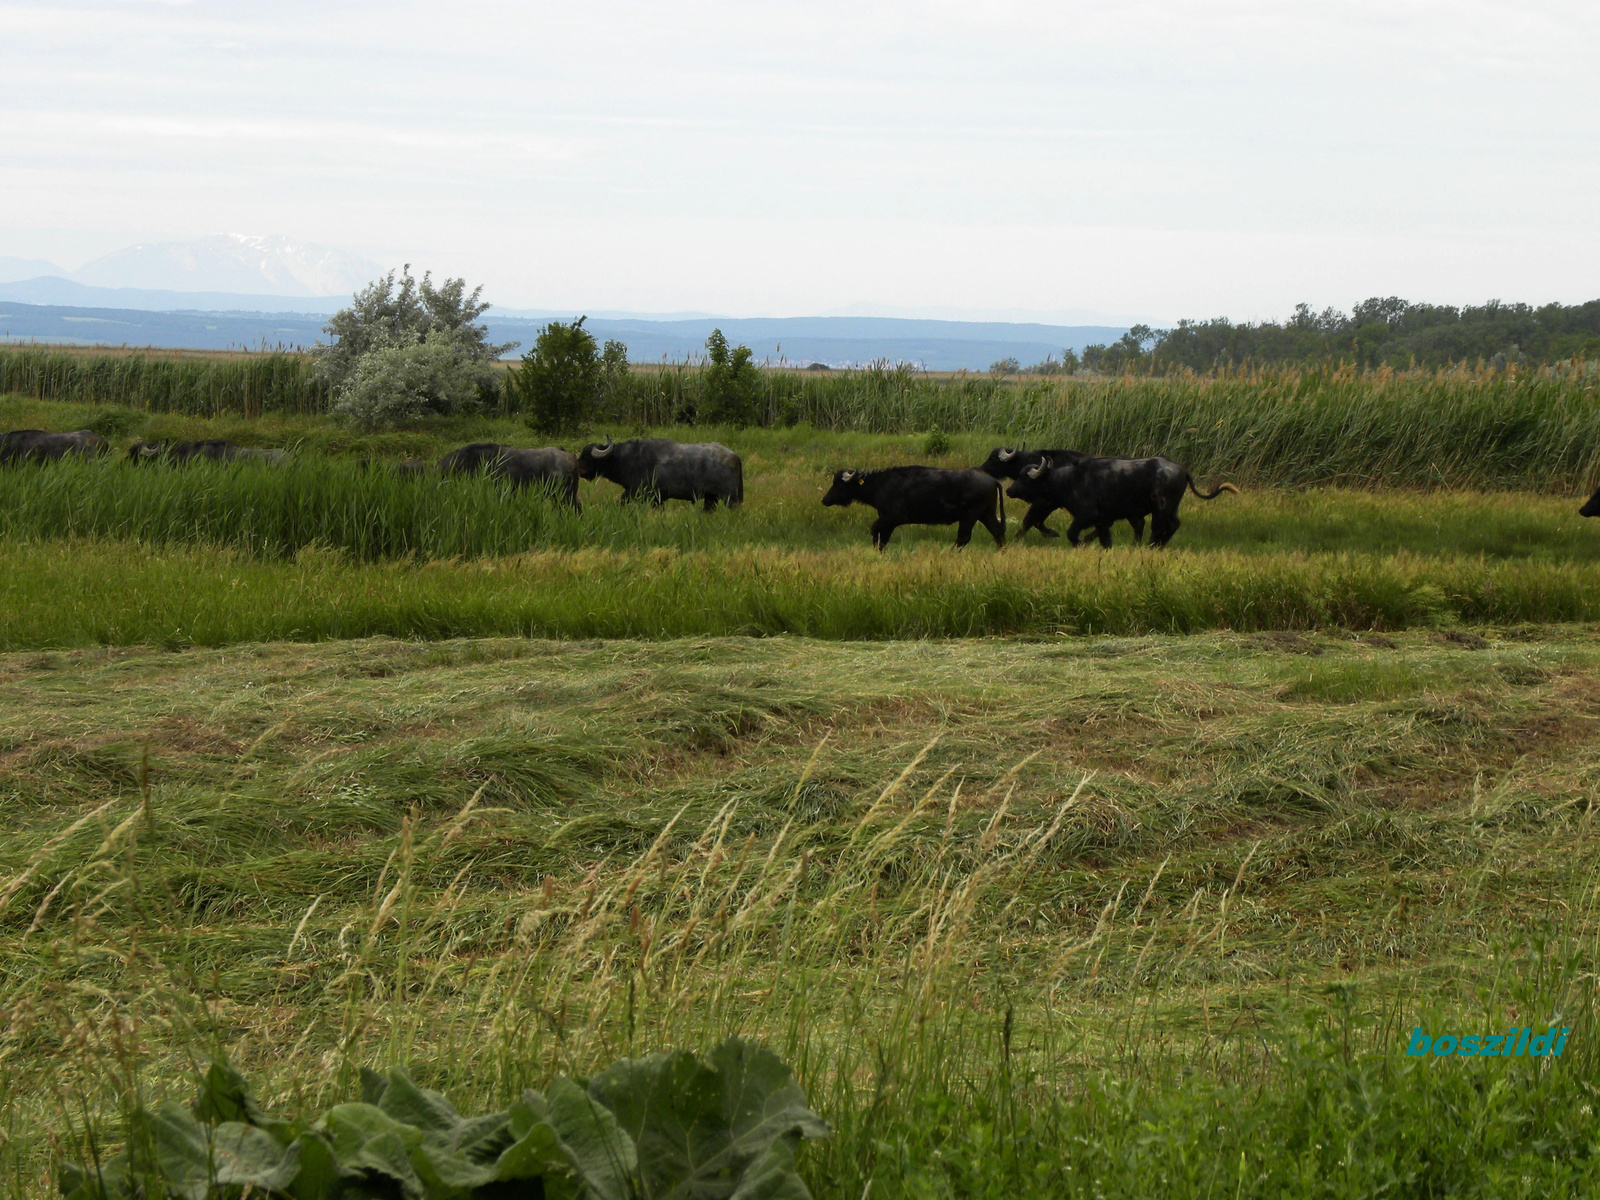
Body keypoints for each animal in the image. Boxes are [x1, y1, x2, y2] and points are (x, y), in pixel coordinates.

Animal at [576, 438, 742, 508]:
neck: (628, 458)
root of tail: (734, 456)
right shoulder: (658, 499)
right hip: (710, 499)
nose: (578, 469)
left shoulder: (635, 492)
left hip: (730, 499)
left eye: (586, 457)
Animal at [819, 467, 1004, 553]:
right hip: (986, 514)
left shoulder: (890, 519)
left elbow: (876, 531)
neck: (881, 485)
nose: (825, 500)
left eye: (839, 484)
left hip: (970, 516)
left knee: (963, 538)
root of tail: (991, 479)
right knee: (998, 531)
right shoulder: (887, 522)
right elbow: (882, 537)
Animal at [998, 454, 1235, 550]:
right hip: (1171, 508)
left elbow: (1072, 534)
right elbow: (1106, 541)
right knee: (1173, 524)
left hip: (1161, 508)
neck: (1070, 481)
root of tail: (1182, 469)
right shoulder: (1103, 522)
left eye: (1025, 477)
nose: (1009, 490)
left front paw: (1081, 544)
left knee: (1157, 528)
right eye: (1019, 474)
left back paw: (1151, 546)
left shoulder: (1086, 516)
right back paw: (1157, 546)